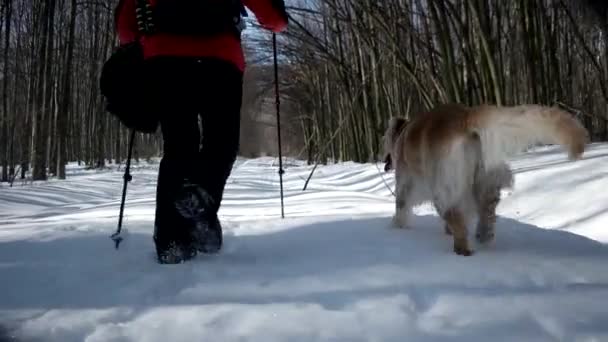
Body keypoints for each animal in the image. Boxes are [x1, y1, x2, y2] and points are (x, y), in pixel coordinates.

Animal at [382, 104, 588, 256]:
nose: (385, 162)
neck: (403, 134)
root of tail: (464, 118)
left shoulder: (405, 183)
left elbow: (401, 207)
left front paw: (397, 226)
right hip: (486, 177)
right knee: (487, 211)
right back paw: (483, 235)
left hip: (445, 185)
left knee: (456, 216)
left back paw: (463, 249)